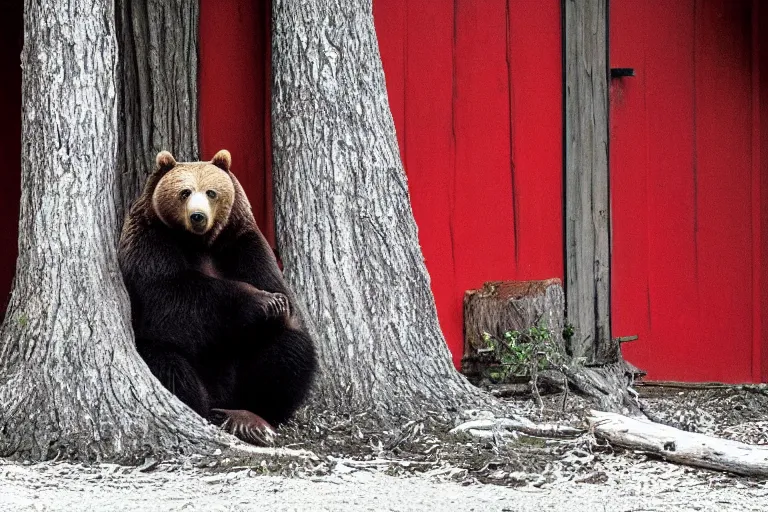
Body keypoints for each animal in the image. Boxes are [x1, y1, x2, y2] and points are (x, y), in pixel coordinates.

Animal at [117, 149, 316, 444]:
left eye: (211, 192)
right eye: (185, 192)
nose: (198, 217)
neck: (200, 243)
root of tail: (222, 398)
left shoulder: (242, 244)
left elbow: (278, 293)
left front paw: (276, 304)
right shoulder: (150, 244)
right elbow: (170, 297)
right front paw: (261, 301)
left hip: (244, 373)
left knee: (291, 351)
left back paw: (253, 416)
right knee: (167, 363)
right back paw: (206, 412)